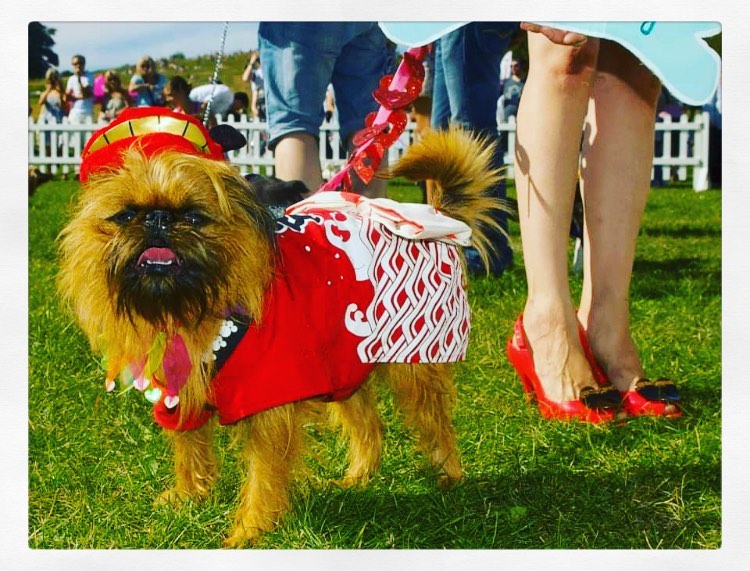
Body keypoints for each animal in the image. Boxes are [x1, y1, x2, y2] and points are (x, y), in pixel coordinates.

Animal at [57, 108, 506, 548]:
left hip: (414, 362)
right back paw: (359, 477)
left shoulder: (269, 402)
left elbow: (265, 471)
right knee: (369, 426)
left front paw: (250, 529)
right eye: (125, 215)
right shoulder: (180, 393)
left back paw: (448, 475)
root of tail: (439, 218)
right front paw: (189, 495)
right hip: (343, 362)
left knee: (434, 421)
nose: (157, 219)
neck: (198, 308)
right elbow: (189, 446)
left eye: (195, 216)